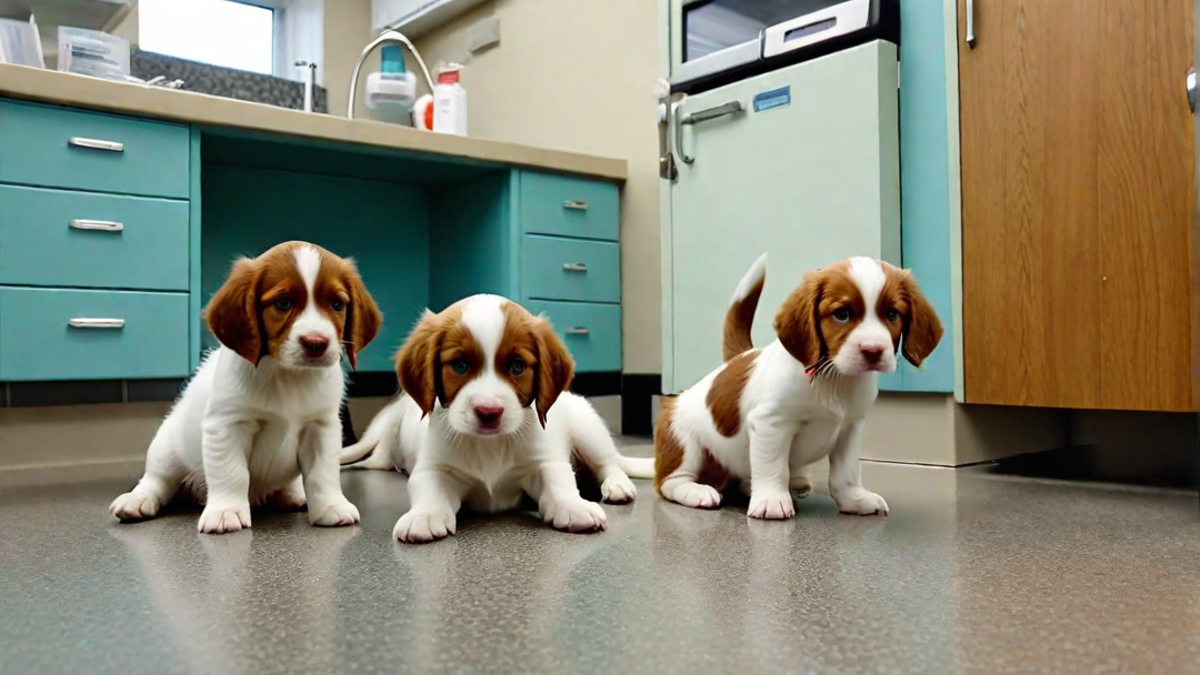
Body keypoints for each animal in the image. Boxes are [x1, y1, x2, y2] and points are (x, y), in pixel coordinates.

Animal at [109, 240, 379, 530]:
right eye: (283, 303)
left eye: (337, 304)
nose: (316, 343)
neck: (288, 375)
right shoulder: (228, 425)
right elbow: (232, 473)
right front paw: (226, 511)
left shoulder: (321, 427)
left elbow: (323, 474)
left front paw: (331, 506)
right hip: (166, 449)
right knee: (156, 480)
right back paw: (136, 500)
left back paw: (293, 495)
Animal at [379, 294, 652, 540]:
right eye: (460, 365)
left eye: (517, 366)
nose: (488, 412)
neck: (489, 445)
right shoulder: (434, 466)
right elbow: (428, 487)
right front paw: (423, 516)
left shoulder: (543, 461)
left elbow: (559, 480)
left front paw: (573, 506)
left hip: (587, 430)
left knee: (609, 463)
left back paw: (618, 485)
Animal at [657, 254, 936, 516]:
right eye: (842, 314)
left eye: (892, 314)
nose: (873, 350)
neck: (832, 378)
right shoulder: (771, 423)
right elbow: (773, 467)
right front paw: (771, 501)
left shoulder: (851, 427)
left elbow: (845, 474)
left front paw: (855, 500)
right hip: (683, 440)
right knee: (669, 482)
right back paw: (697, 491)